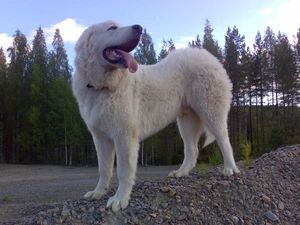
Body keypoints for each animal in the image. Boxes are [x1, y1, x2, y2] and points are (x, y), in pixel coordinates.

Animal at [72, 20, 239, 212]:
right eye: (112, 28)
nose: (138, 27)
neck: (103, 87)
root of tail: (210, 57)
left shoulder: (124, 136)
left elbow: (123, 171)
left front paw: (120, 199)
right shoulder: (100, 138)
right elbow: (104, 169)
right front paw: (98, 192)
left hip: (211, 113)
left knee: (225, 141)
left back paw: (230, 169)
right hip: (186, 122)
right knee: (192, 150)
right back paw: (181, 173)